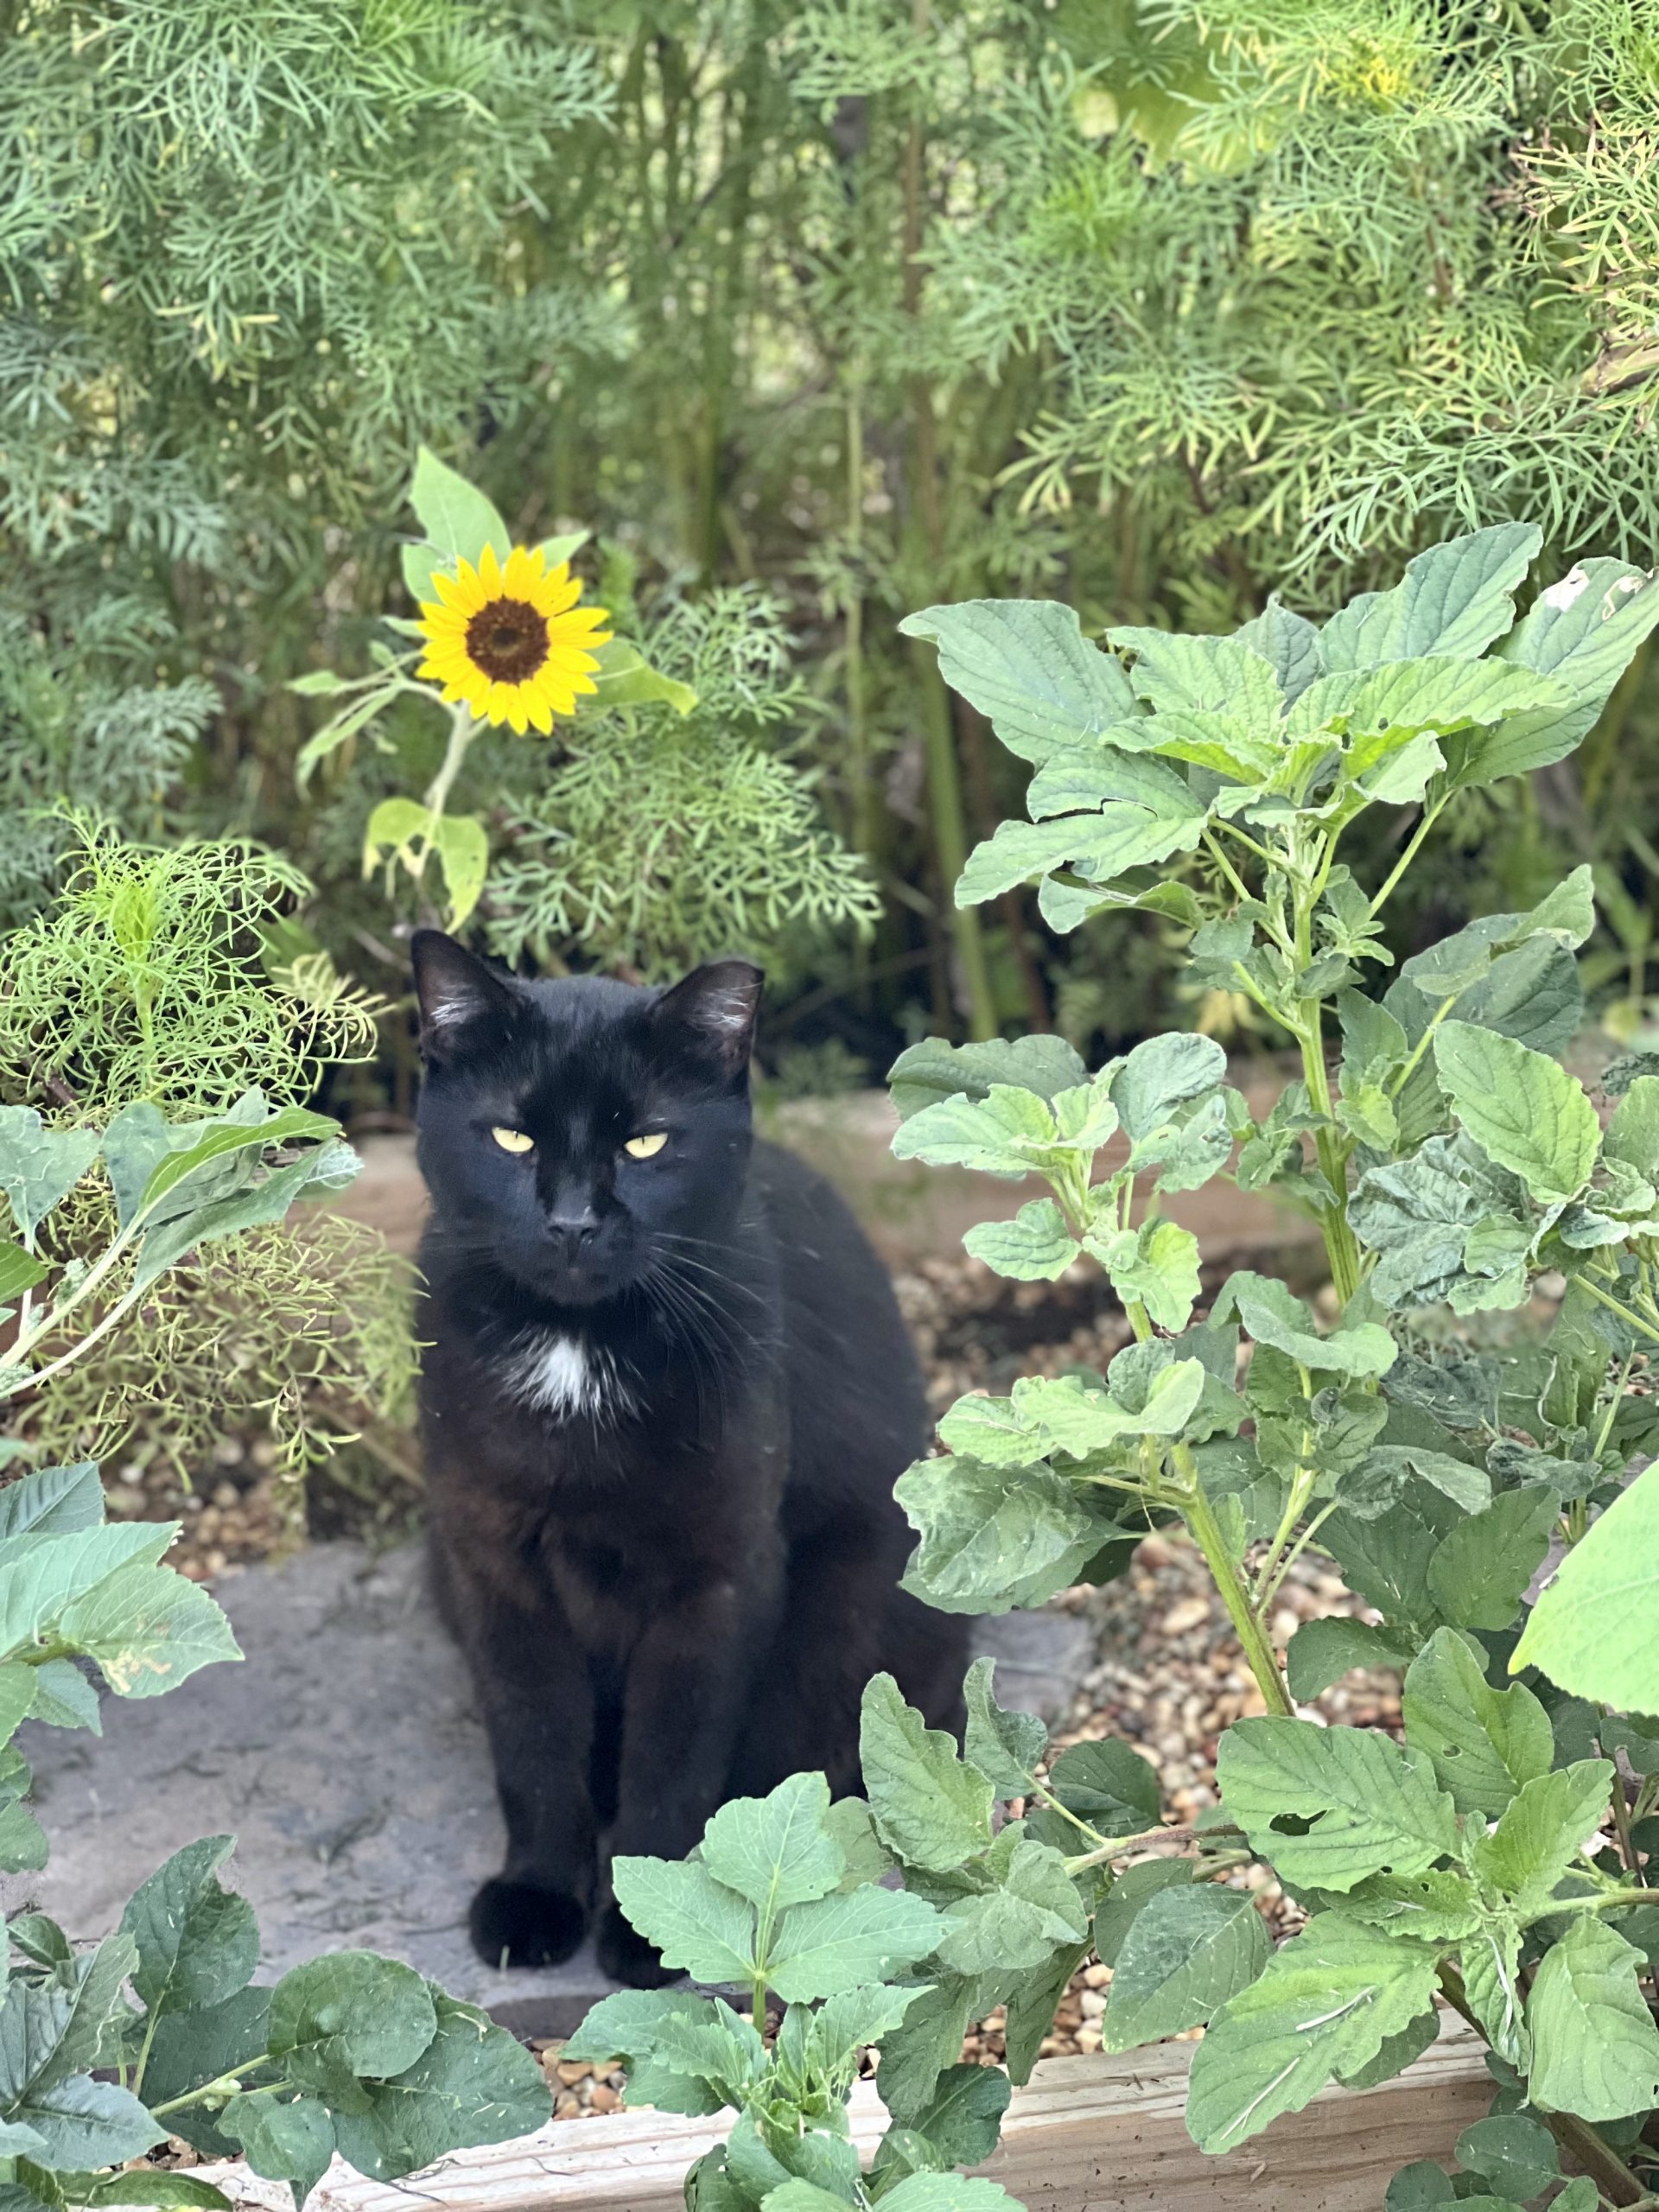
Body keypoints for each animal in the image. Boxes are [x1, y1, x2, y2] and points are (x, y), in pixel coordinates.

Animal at [407, 933, 969, 1991]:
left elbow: (674, 1757)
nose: (572, 1222)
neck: (577, 1351)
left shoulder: (716, 1578)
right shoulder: (491, 1560)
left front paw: (653, 1922)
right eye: (511, 1139)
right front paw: (536, 1898)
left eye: (646, 1144)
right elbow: (531, 1741)